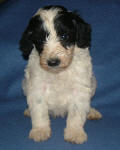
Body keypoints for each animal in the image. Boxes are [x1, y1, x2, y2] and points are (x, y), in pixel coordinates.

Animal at [19, 5, 101, 144]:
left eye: (64, 36)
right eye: (40, 39)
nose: (53, 62)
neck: (58, 73)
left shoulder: (79, 87)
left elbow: (77, 111)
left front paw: (74, 132)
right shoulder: (37, 87)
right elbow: (39, 109)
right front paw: (40, 130)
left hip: (93, 83)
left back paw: (91, 112)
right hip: (25, 83)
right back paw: (29, 111)